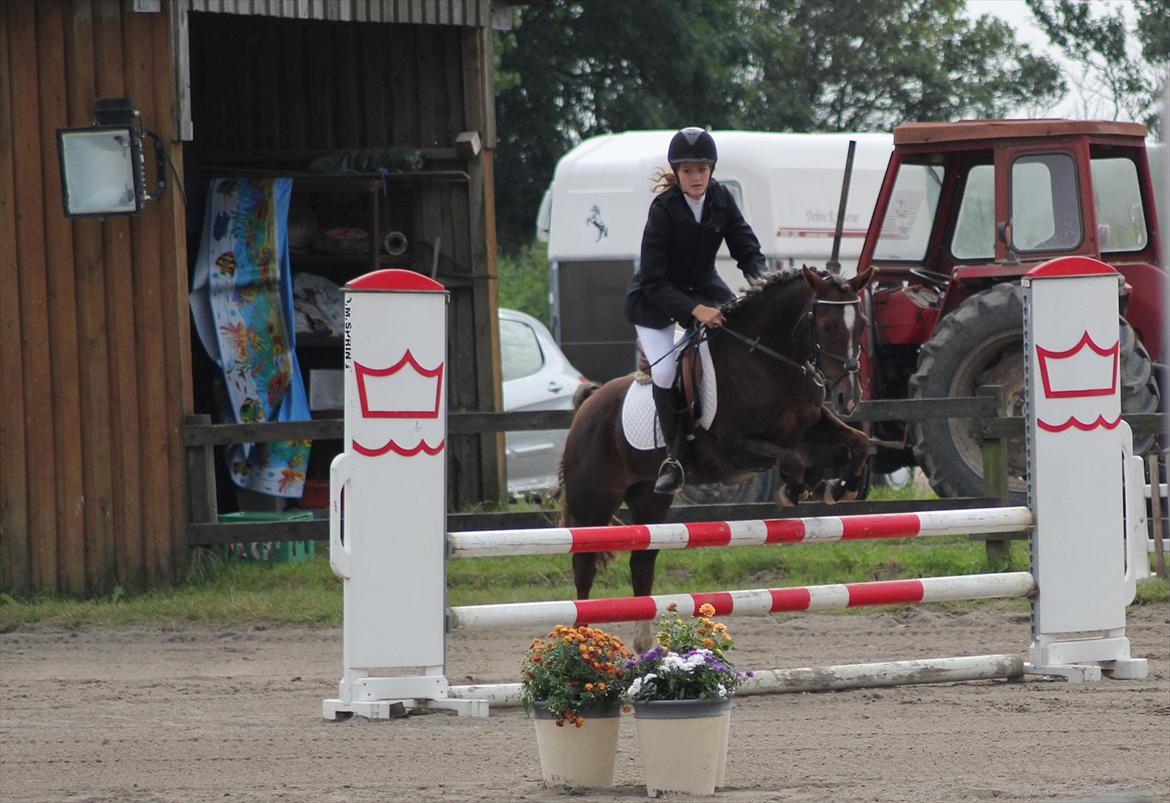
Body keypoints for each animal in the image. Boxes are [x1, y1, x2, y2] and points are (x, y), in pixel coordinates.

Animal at [561, 266, 875, 650]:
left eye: (862, 324)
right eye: (828, 325)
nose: (849, 397)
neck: (768, 361)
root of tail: (587, 405)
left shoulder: (812, 426)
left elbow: (859, 443)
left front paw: (839, 487)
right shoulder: (735, 448)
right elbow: (792, 460)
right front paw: (794, 490)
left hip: (649, 499)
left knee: (642, 562)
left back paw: (645, 645)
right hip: (593, 502)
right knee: (584, 565)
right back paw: (580, 640)